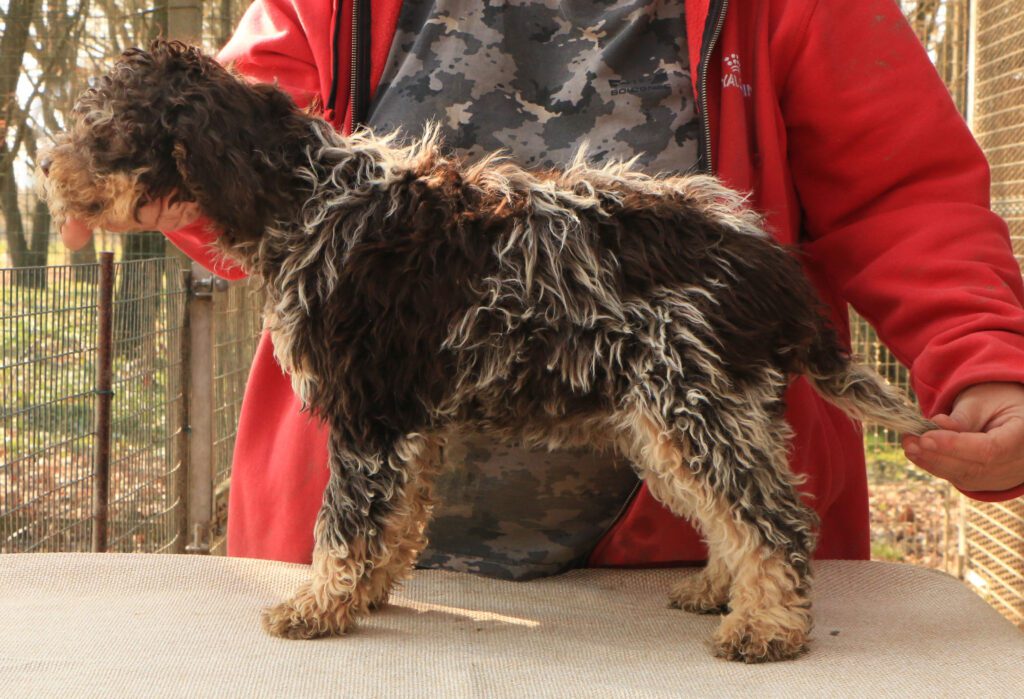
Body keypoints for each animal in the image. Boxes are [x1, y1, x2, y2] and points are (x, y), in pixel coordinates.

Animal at [41, 40, 937, 663]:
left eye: (106, 127)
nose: (46, 168)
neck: (308, 201)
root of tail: (766, 258)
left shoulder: (367, 413)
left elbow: (345, 524)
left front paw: (318, 606)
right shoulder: (405, 423)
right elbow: (395, 523)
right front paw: (367, 594)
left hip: (692, 400)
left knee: (774, 517)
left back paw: (768, 627)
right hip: (679, 414)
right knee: (733, 514)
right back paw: (724, 589)